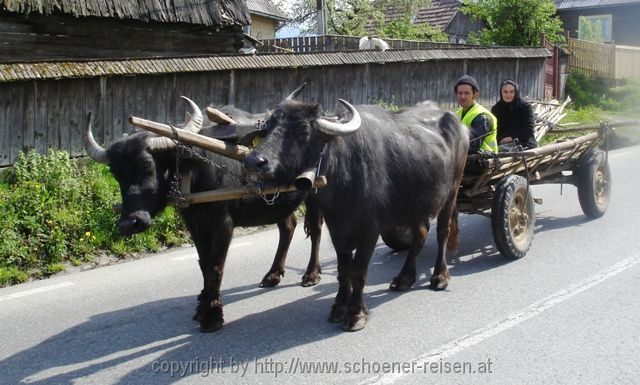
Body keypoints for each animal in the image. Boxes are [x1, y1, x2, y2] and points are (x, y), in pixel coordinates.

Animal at [84, 89, 322, 330]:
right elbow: (203, 263)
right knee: (288, 226)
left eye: (146, 165)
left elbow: (215, 266)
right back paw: (273, 274)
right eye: (115, 173)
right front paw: (203, 302)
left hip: (314, 194)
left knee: (316, 231)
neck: (196, 170)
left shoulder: (223, 223)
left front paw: (211, 314)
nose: (129, 223)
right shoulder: (194, 223)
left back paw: (311, 274)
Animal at [242, 97, 468, 330]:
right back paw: (404, 278)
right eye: (268, 127)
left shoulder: (370, 230)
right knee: (421, 234)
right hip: (415, 205)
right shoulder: (337, 227)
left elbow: (358, 271)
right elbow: (343, 270)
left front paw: (355, 313)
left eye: (303, 131)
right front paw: (338, 307)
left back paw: (440, 276)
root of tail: (456, 121)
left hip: (452, 190)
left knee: (442, 231)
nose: (253, 162)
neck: (345, 173)